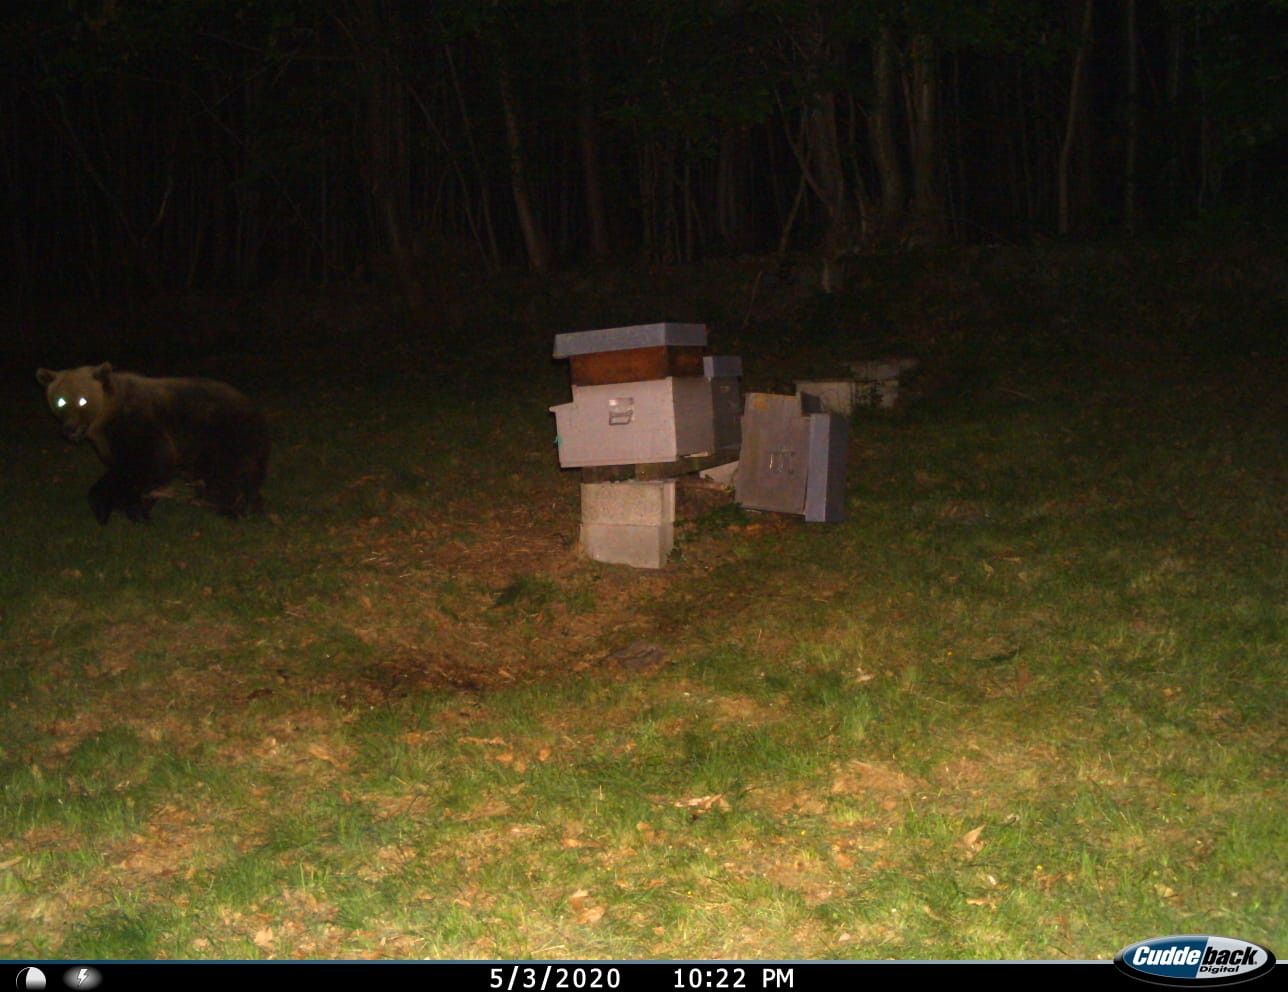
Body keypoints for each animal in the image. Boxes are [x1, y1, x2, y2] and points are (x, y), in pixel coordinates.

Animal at [36, 360, 266, 517]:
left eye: (83, 400)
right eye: (60, 400)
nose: (70, 429)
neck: (105, 419)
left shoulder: (141, 424)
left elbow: (154, 460)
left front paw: (141, 498)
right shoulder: (109, 441)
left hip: (222, 432)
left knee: (227, 472)